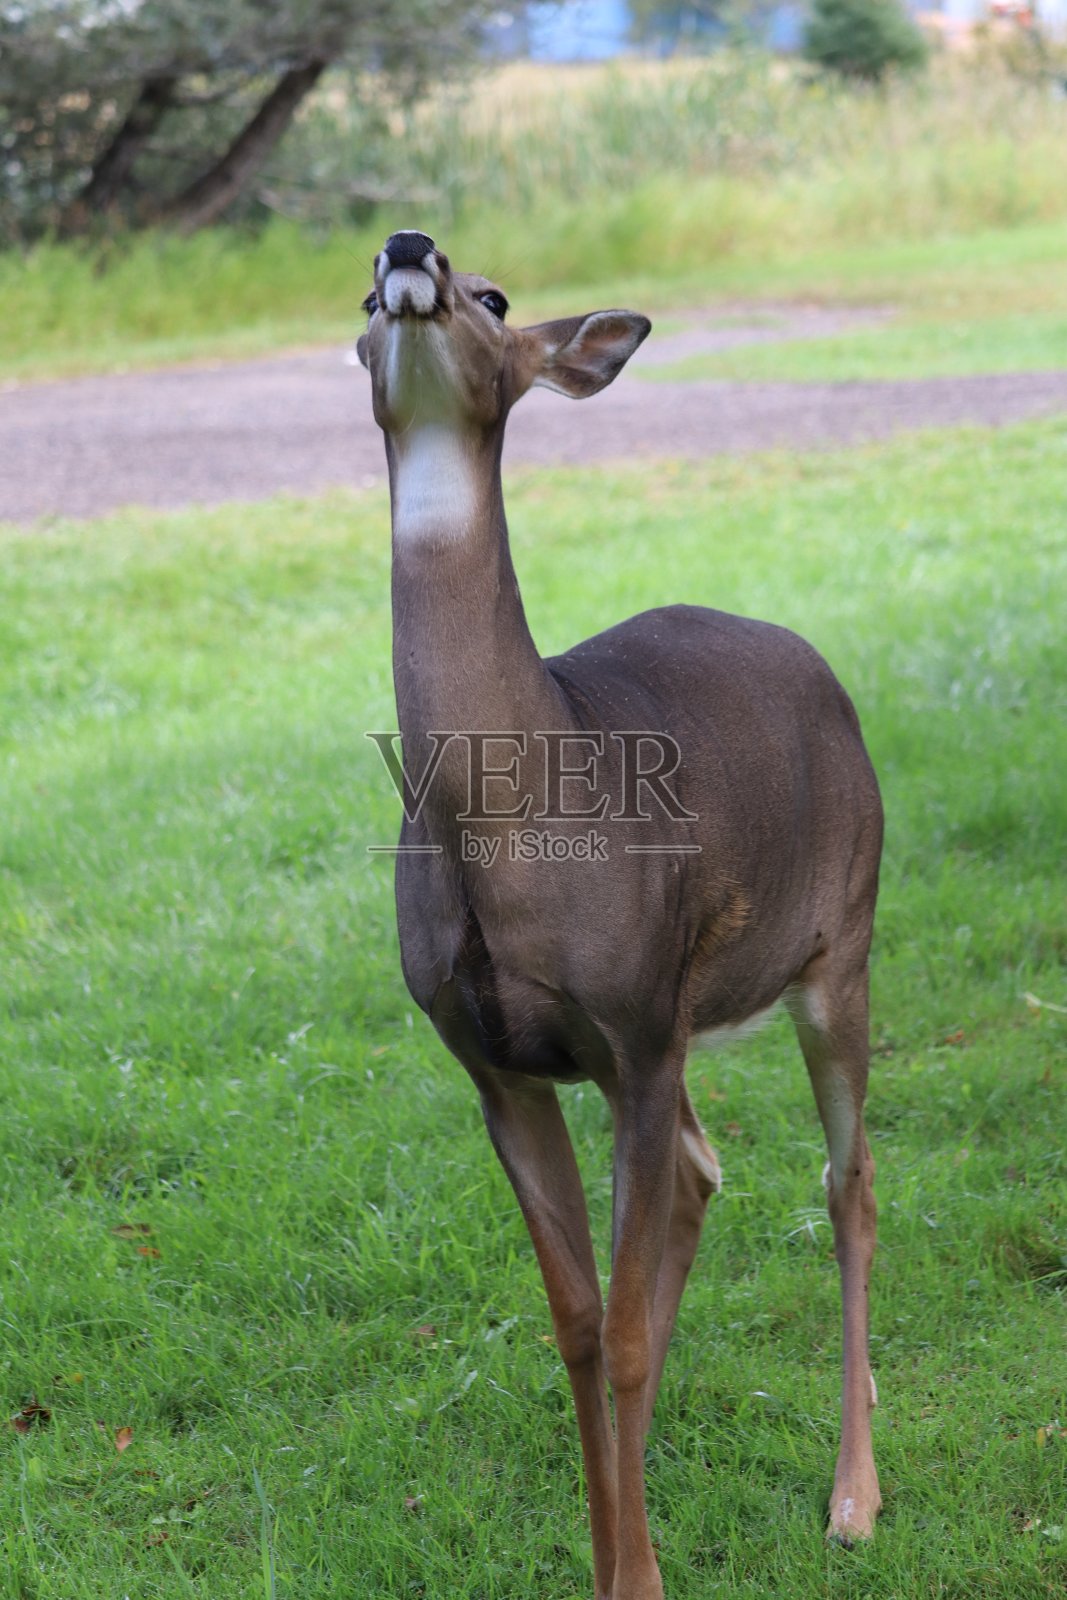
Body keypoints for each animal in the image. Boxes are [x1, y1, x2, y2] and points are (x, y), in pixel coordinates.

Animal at [357, 230, 883, 1600]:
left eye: (494, 296)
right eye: (356, 296)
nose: (408, 248)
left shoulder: (637, 1030)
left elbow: (633, 1327)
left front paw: (636, 1576)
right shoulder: (500, 1062)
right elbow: (581, 1320)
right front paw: (606, 1558)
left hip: (840, 945)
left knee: (847, 1181)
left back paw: (853, 1495)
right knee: (702, 1175)